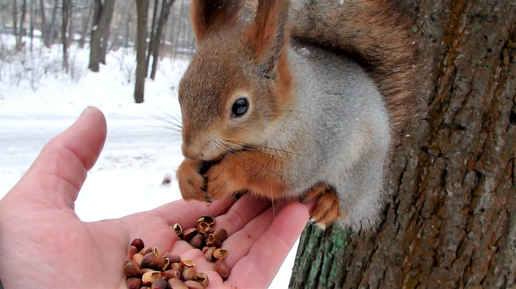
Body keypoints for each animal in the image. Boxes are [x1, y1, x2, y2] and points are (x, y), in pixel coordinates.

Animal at [175, 0, 418, 230]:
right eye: (181, 91)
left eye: (240, 106)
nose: (190, 151)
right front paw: (187, 173)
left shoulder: (309, 144)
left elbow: (283, 174)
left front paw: (227, 174)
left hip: (360, 171)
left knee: (351, 203)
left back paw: (329, 201)